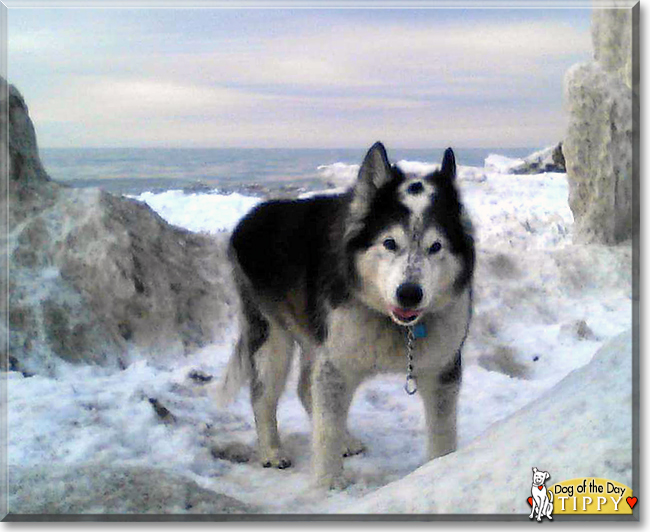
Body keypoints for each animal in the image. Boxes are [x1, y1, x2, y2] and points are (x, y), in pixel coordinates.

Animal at [220, 142, 474, 490]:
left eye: (436, 246)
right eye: (389, 243)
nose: (409, 293)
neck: (393, 323)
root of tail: (253, 216)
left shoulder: (441, 368)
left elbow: (443, 434)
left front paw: (441, 470)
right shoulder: (336, 362)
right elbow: (326, 429)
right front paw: (328, 485)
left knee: (305, 389)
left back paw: (346, 440)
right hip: (273, 338)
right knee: (263, 396)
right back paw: (272, 451)